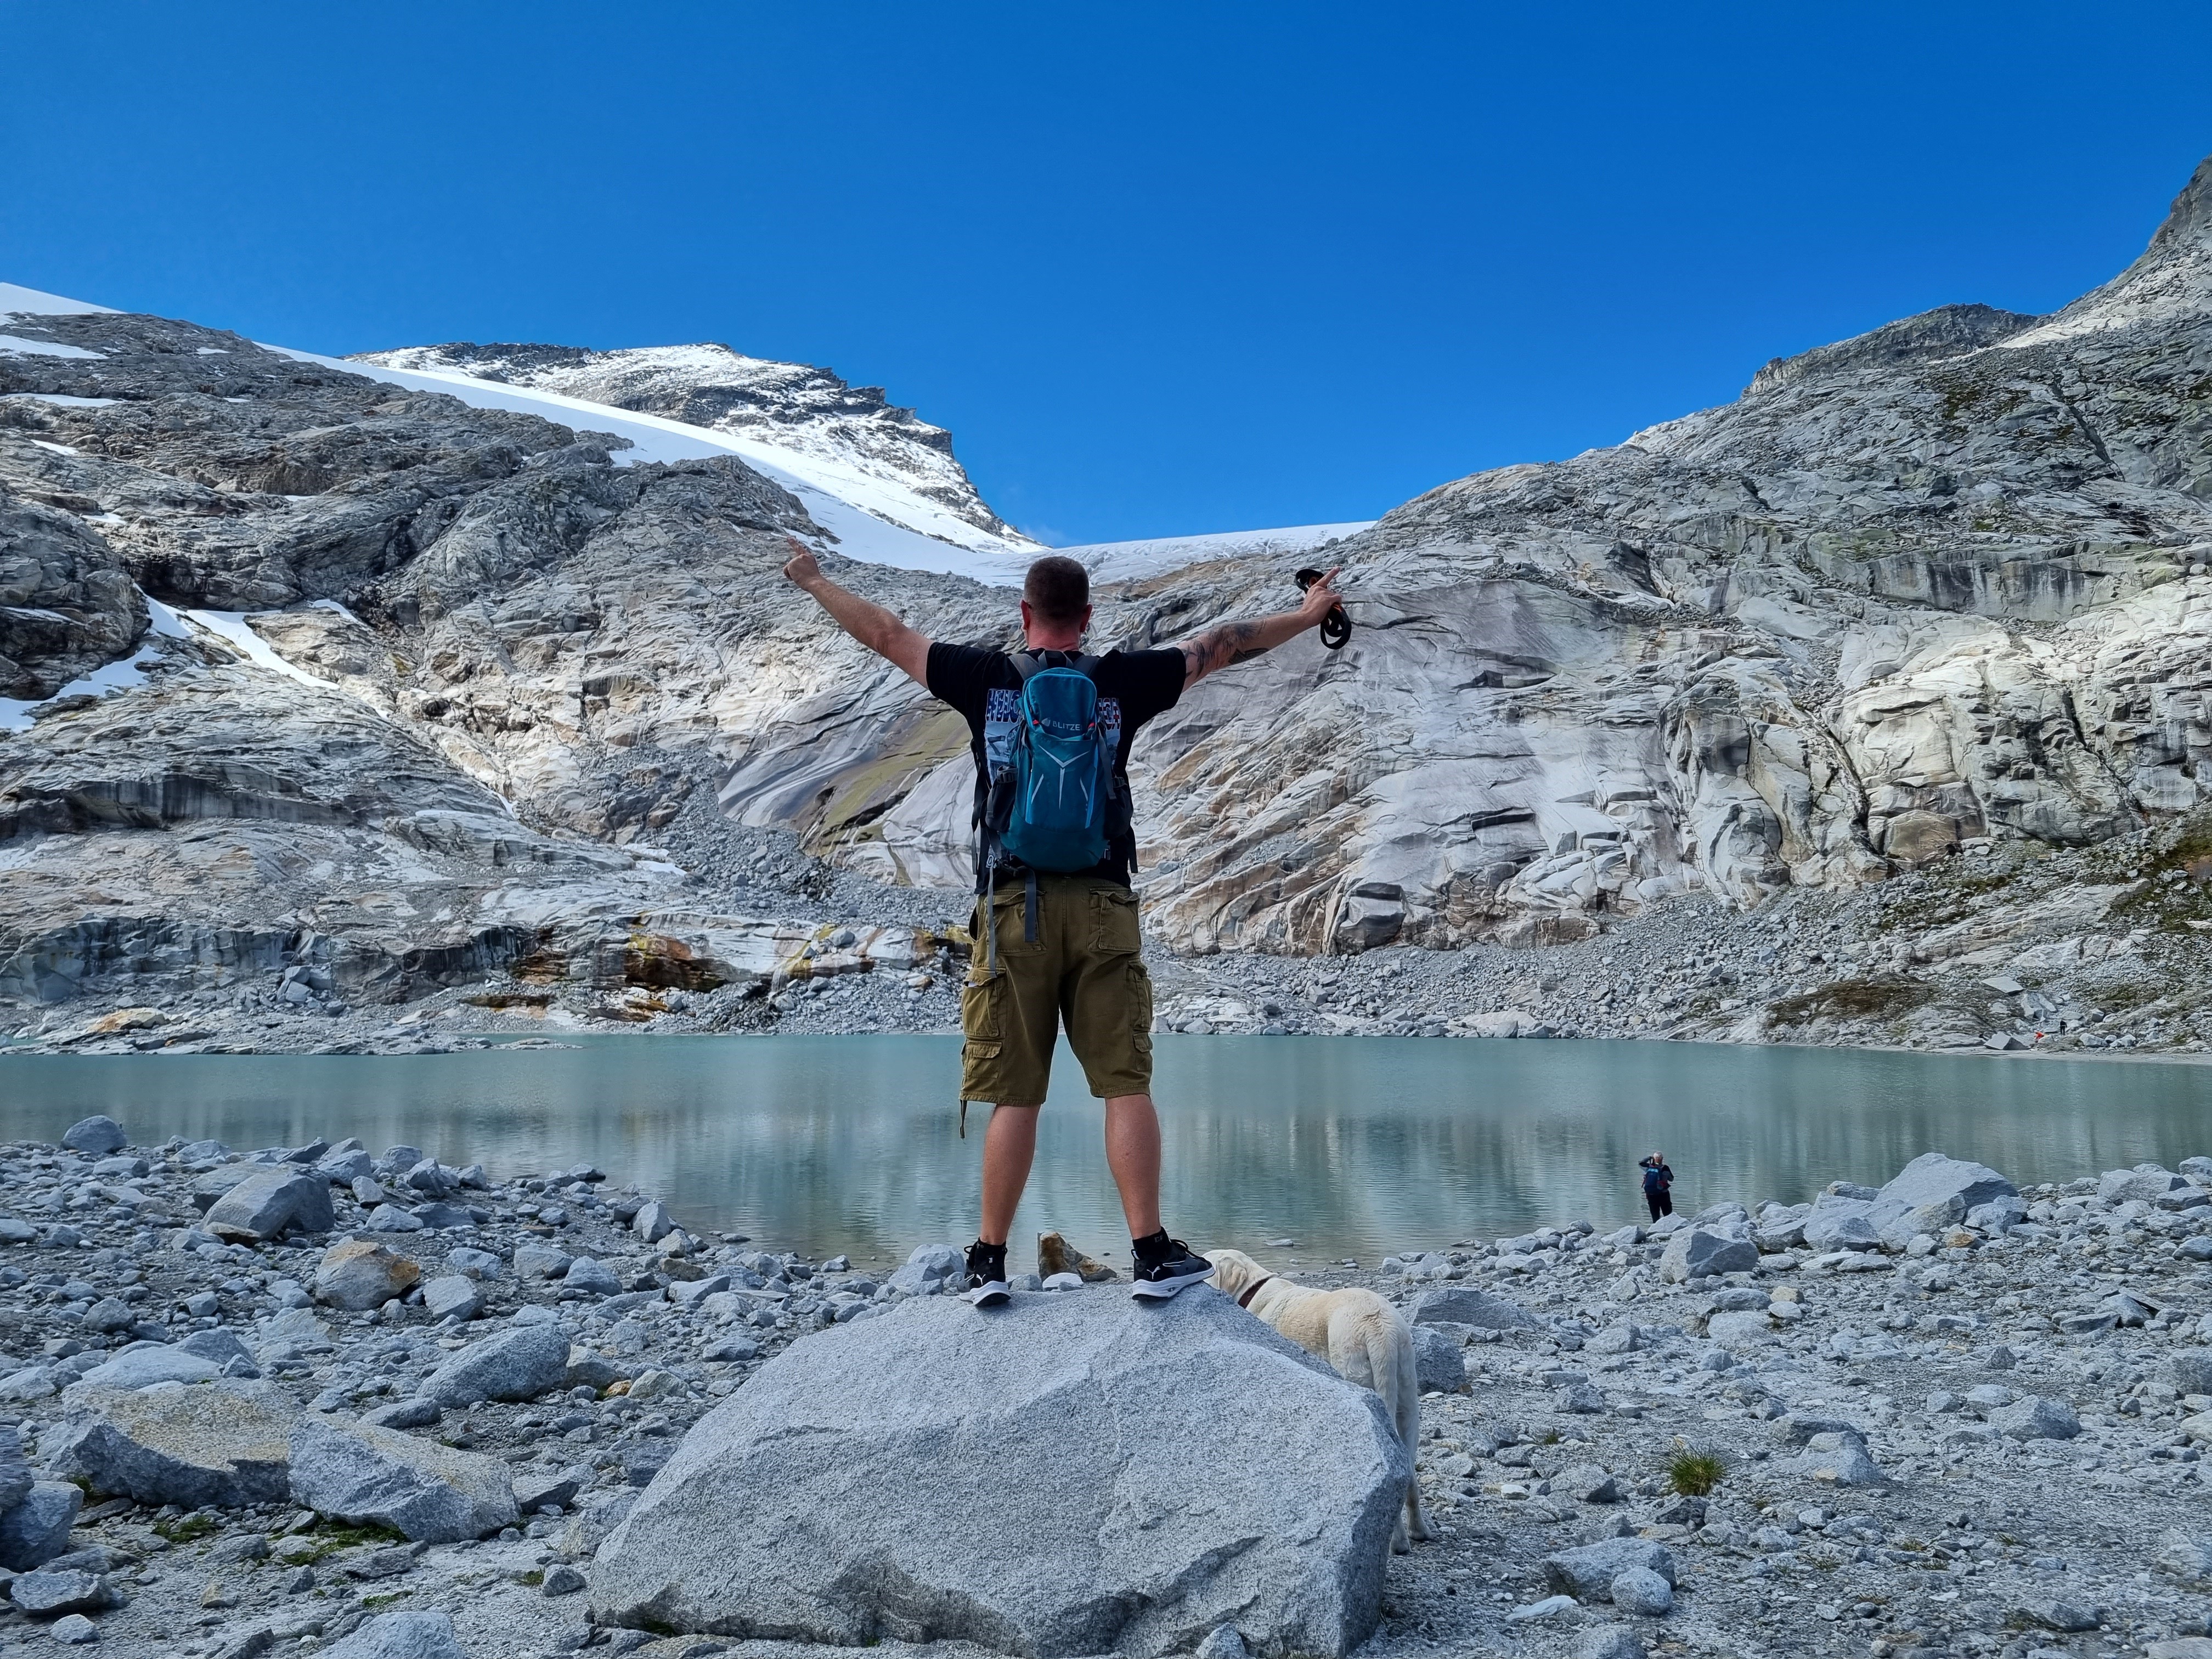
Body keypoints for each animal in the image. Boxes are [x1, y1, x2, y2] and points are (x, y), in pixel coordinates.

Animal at [1212, 1256, 1433, 1557]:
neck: (1252, 1290)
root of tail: (1380, 1328)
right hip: (1407, 1390)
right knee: (1409, 1471)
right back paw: (1417, 1531)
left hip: (1354, 1367)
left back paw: (1395, 1541)